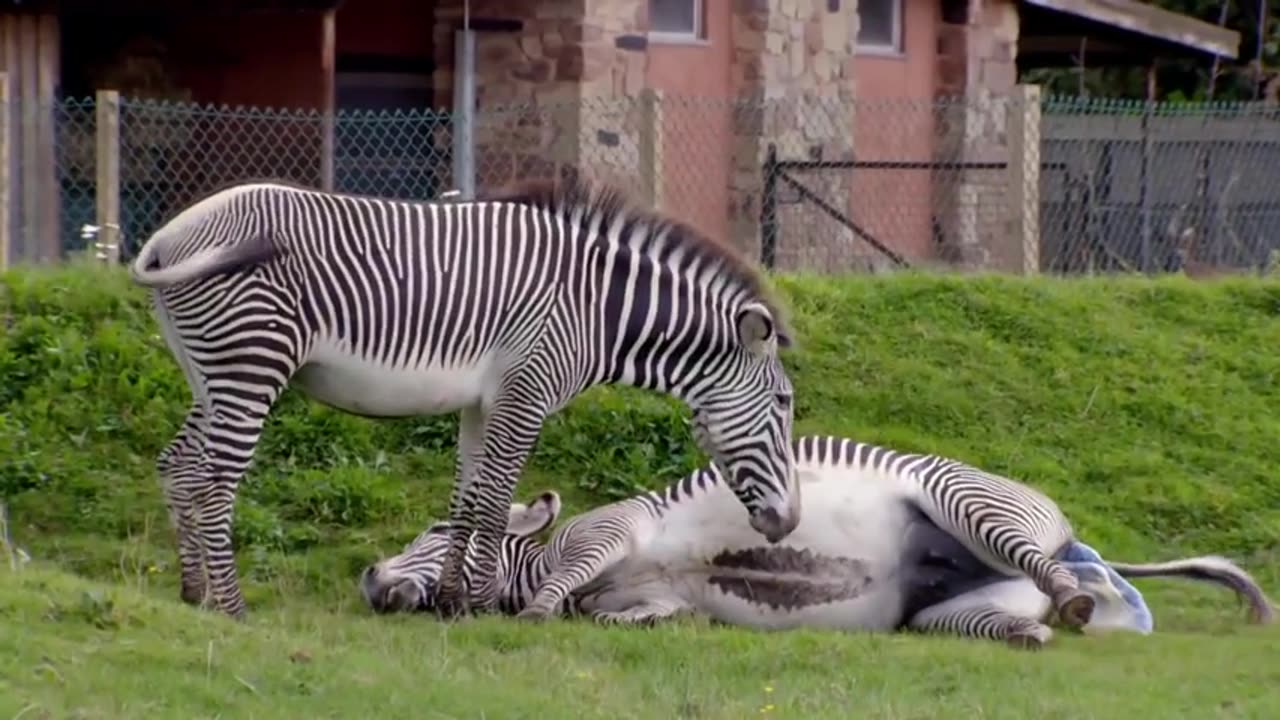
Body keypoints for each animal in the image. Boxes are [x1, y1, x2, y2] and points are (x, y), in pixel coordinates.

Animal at [135, 175, 803, 617]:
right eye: (784, 404)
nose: (789, 522)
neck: (598, 310)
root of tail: (166, 238)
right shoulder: (526, 392)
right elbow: (495, 502)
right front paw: (482, 606)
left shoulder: (481, 403)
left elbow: (465, 499)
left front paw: (454, 601)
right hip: (251, 364)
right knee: (215, 482)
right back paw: (232, 606)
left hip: (210, 373)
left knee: (178, 465)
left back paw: (193, 593)